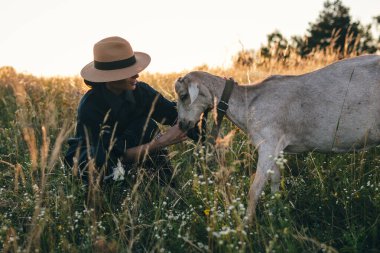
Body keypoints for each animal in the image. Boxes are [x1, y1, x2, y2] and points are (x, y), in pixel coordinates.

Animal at [174, 54, 380, 221]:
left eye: (183, 95)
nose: (182, 124)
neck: (248, 102)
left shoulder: (268, 144)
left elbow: (254, 189)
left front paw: (247, 226)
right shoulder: (276, 148)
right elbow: (275, 181)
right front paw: (275, 215)